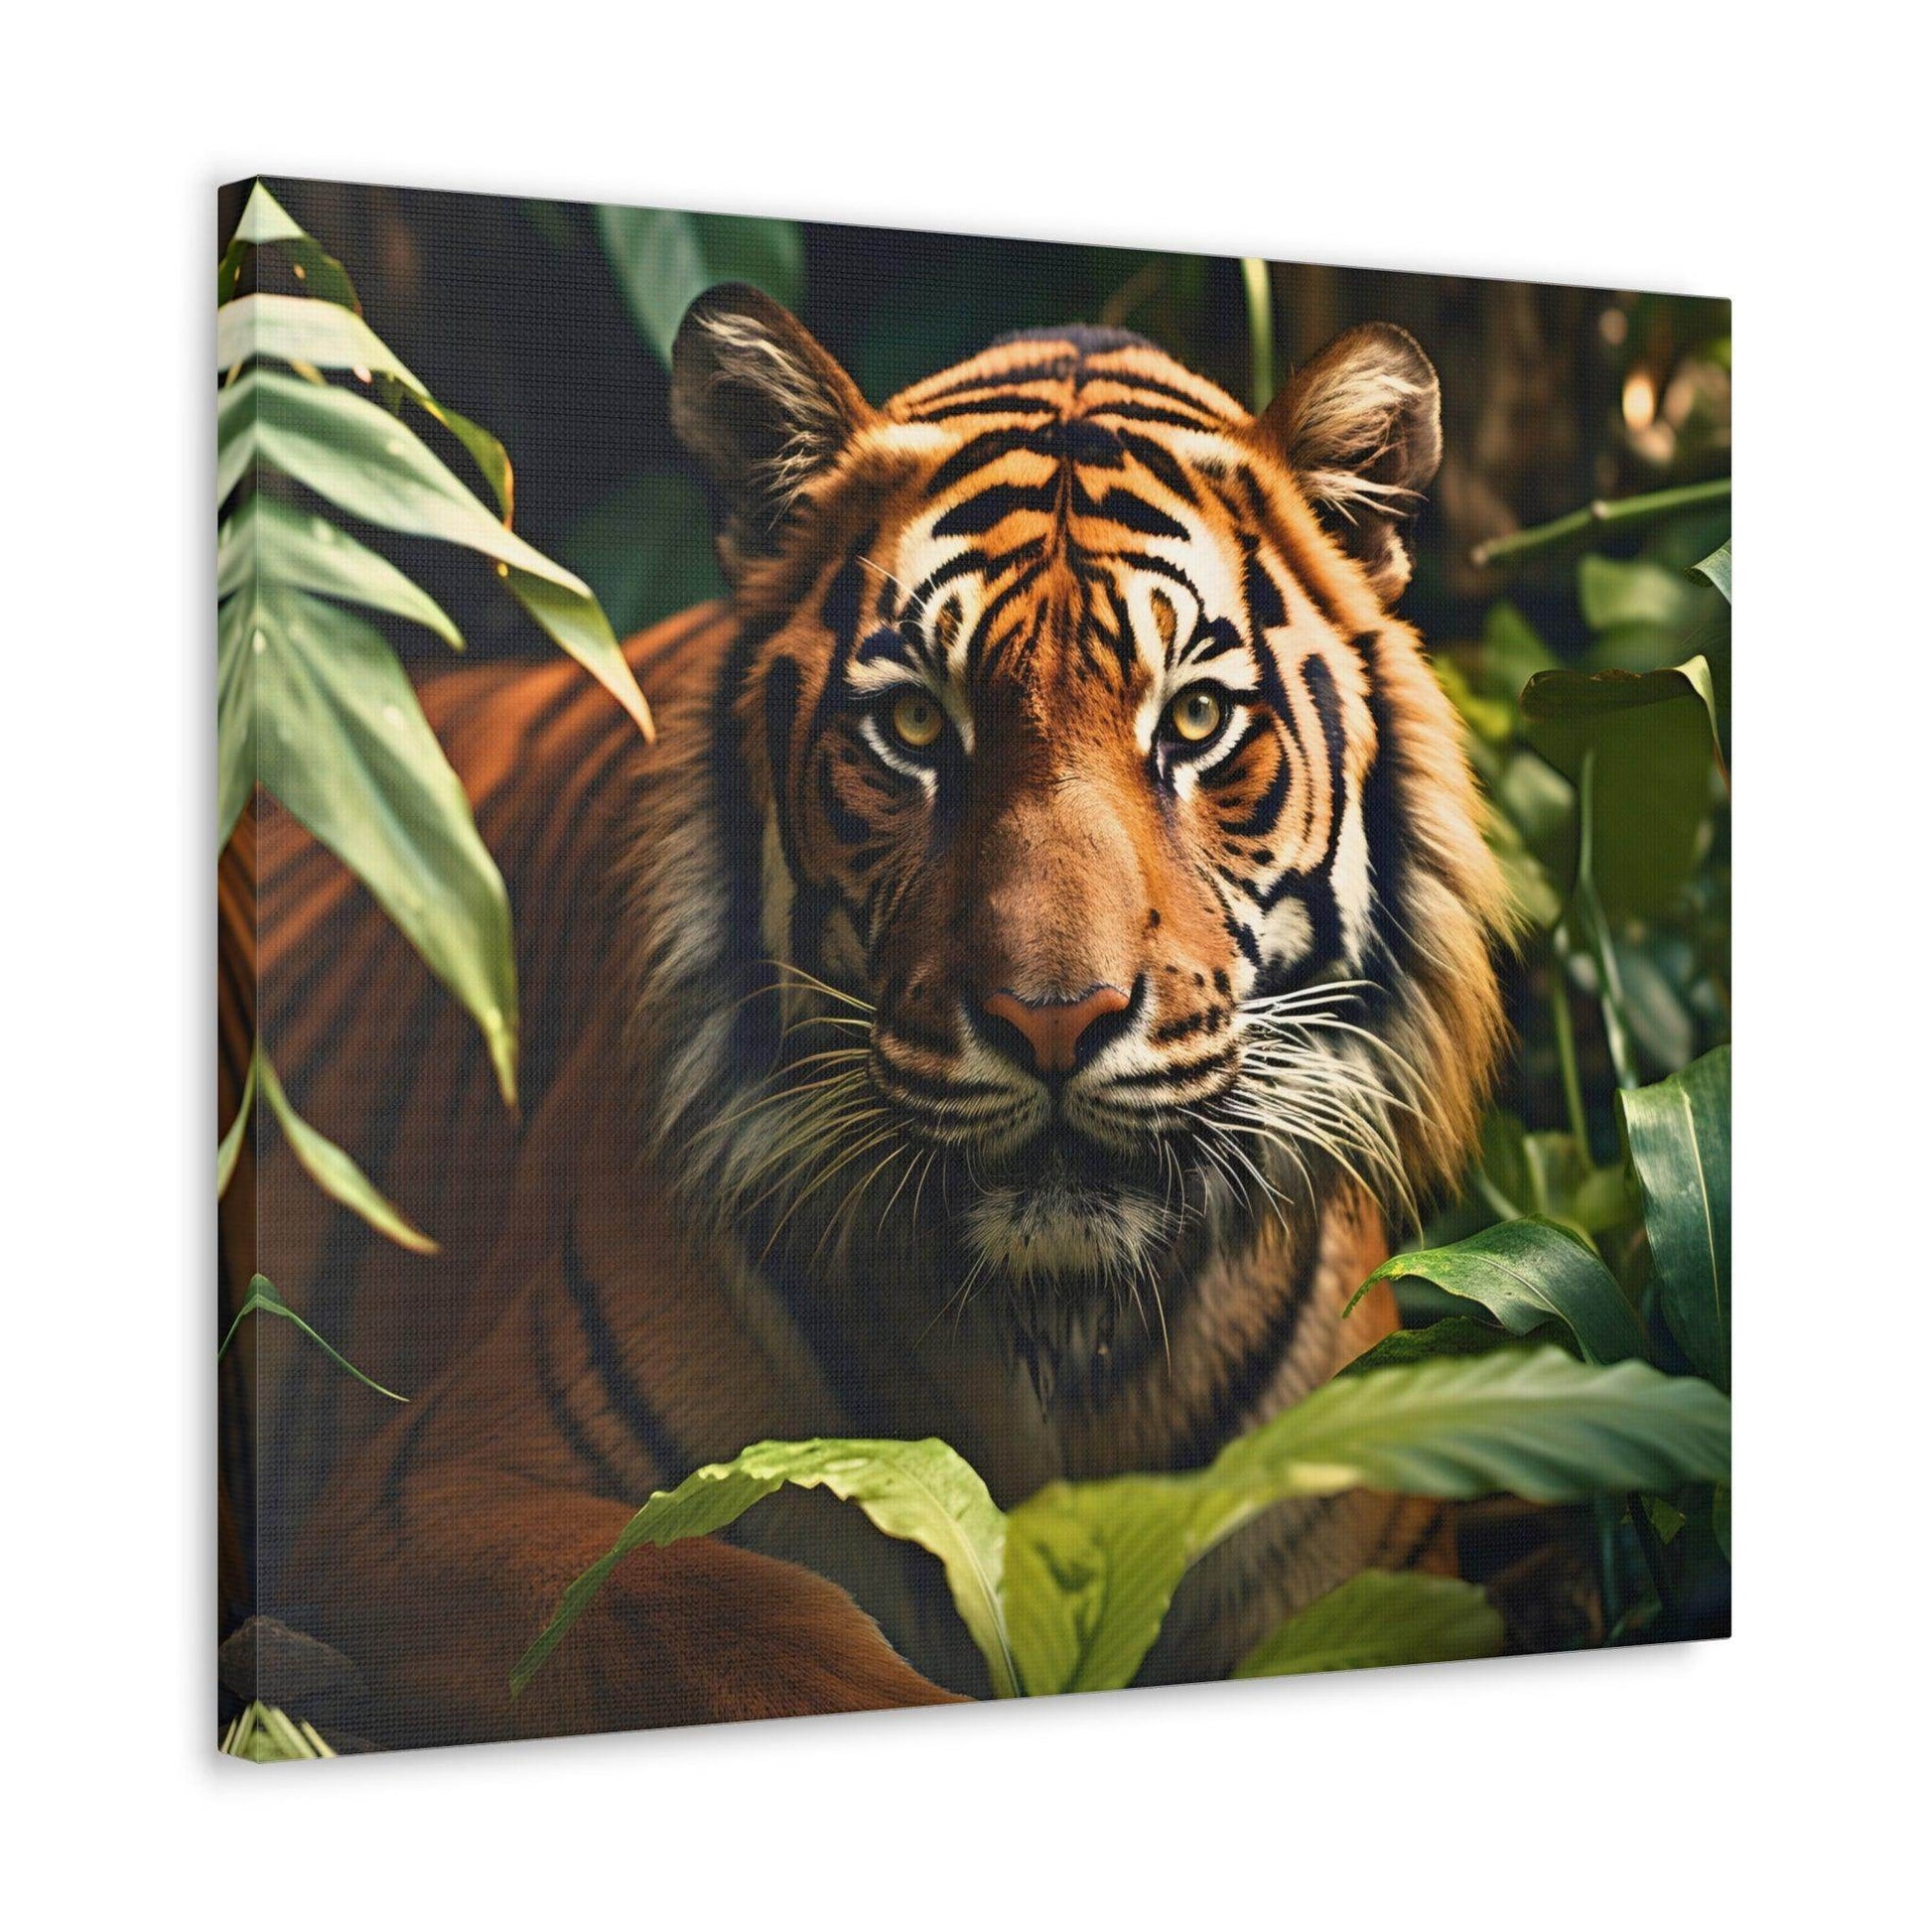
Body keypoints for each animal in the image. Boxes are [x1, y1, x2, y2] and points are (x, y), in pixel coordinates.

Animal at [220, 285, 1512, 1747]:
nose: (1051, 1019)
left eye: (1191, 718)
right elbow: (722, 1614)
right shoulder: (425, 1496)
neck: (1055, 1338)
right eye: (913, 725)